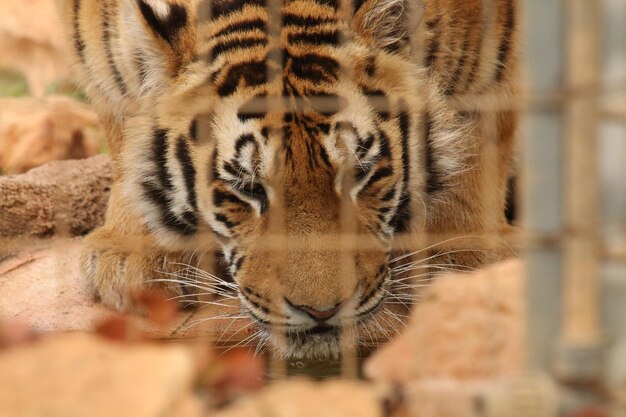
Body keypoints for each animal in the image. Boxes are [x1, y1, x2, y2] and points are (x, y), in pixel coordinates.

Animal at [57, 0, 516, 358]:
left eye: (359, 174)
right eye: (248, 188)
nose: (321, 312)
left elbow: (481, 135)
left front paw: (467, 257)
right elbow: (123, 125)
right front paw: (135, 254)